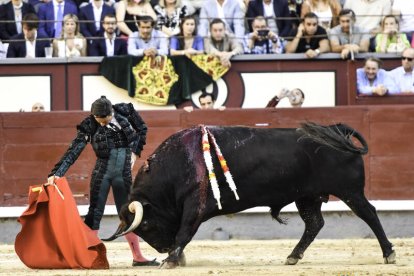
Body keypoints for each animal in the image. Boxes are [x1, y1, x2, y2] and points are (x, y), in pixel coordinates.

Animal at [105, 123, 396, 268]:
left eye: (146, 225)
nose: (163, 248)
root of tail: (338, 130)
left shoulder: (195, 204)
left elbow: (184, 232)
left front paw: (172, 260)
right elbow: (183, 234)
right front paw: (174, 258)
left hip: (350, 191)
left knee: (369, 213)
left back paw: (388, 254)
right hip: (308, 197)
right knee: (314, 224)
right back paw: (292, 256)